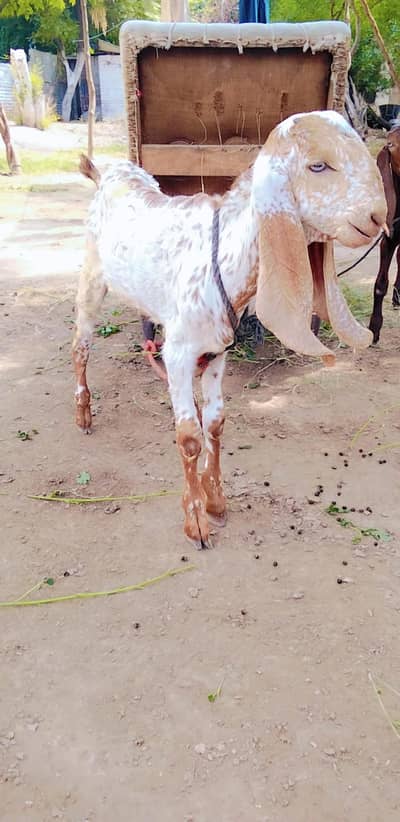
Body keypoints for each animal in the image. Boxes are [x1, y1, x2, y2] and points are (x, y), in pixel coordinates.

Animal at [73, 111, 386, 549]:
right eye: (318, 166)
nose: (377, 218)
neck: (223, 257)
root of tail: (108, 172)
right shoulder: (179, 352)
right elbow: (189, 434)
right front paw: (196, 524)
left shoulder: (217, 350)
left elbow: (216, 422)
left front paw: (216, 500)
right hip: (91, 278)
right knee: (80, 345)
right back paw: (83, 413)